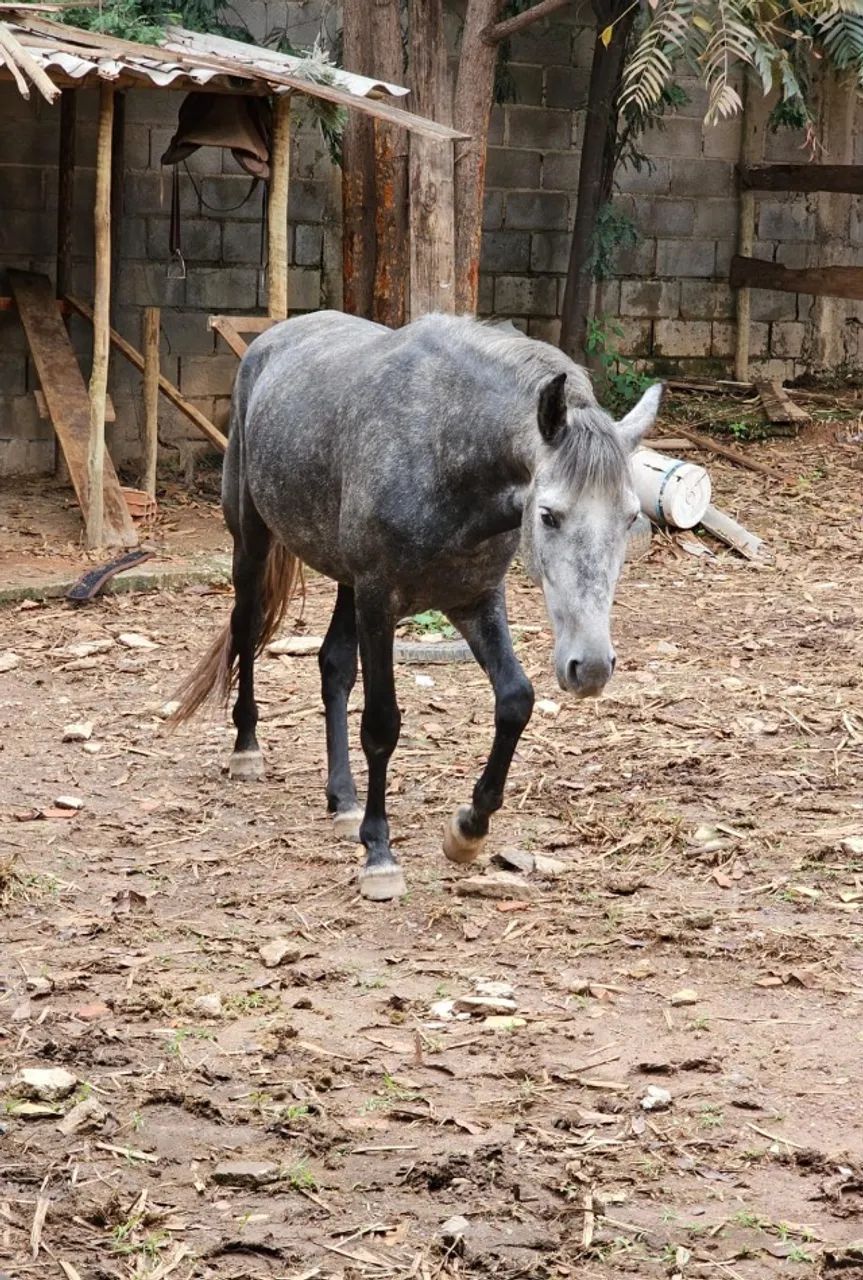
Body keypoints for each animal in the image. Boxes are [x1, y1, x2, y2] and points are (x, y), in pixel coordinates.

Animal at [172, 311, 662, 901]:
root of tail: (269, 341)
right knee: (246, 632)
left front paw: (468, 829)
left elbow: (515, 701)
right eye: (548, 515)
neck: (445, 449)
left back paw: (343, 799)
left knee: (333, 666)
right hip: (252, 543)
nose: (589, 667)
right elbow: (382, 725)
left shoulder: (473, 602)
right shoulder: (380, 603)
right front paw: (379, 855)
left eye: (630, 518)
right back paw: (247, 750)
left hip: (347, 583)